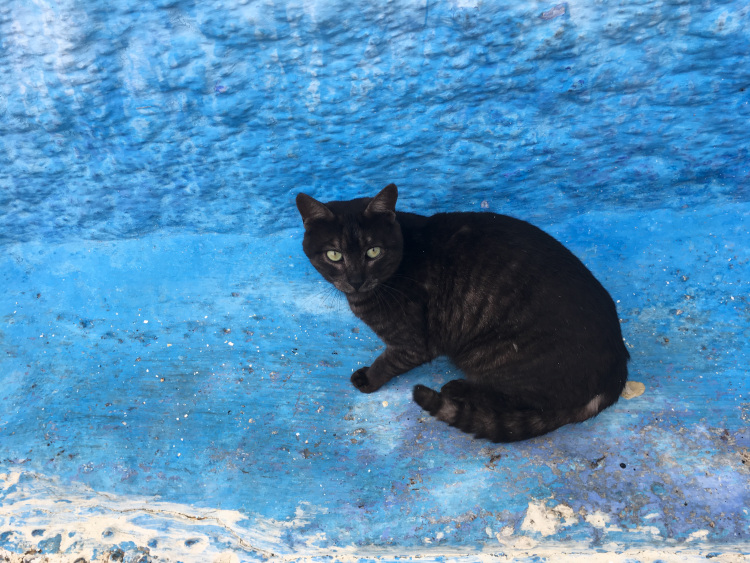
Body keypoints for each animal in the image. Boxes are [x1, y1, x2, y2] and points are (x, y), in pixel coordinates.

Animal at [296, 183, 632, 442]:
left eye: (373, 252)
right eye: (334, 255)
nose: (355, 280)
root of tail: (616, 373)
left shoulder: (413, 343)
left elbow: (388, 361)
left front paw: (369, 378)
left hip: (495, 355)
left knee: (517, 398)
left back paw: (457, 388)